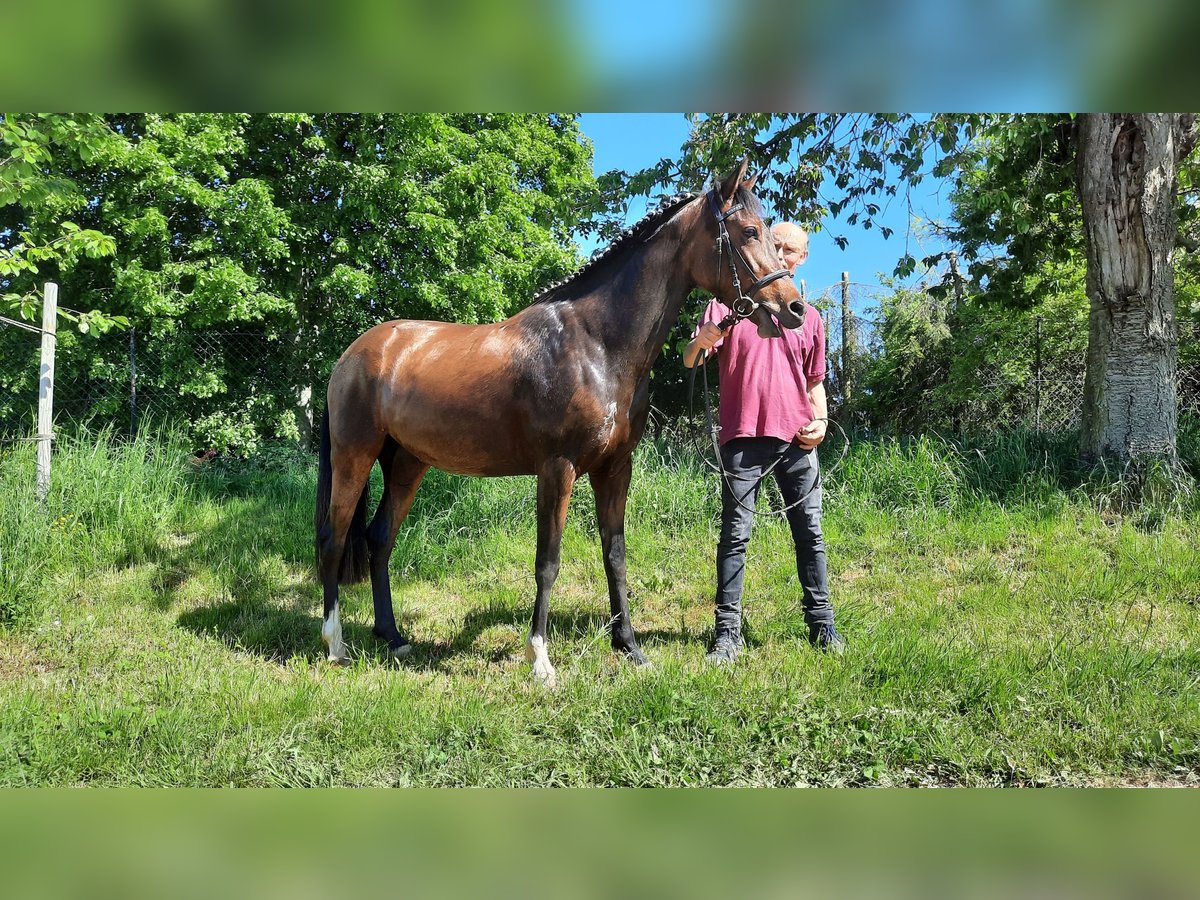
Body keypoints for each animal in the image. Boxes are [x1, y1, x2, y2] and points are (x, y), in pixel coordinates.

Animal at [314, 158, 801, 686]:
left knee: (379, 541)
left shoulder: (615, 469)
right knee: (335, 539)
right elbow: (548, 561)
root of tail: (353, 355)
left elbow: (616, 555)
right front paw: (541, 660)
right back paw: (335, 645)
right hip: (354, 456)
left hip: (407, 465)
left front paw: (630, 647)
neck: (595, 345)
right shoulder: (557, 469)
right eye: (749, 231)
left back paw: (394, 637)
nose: (793, 308)